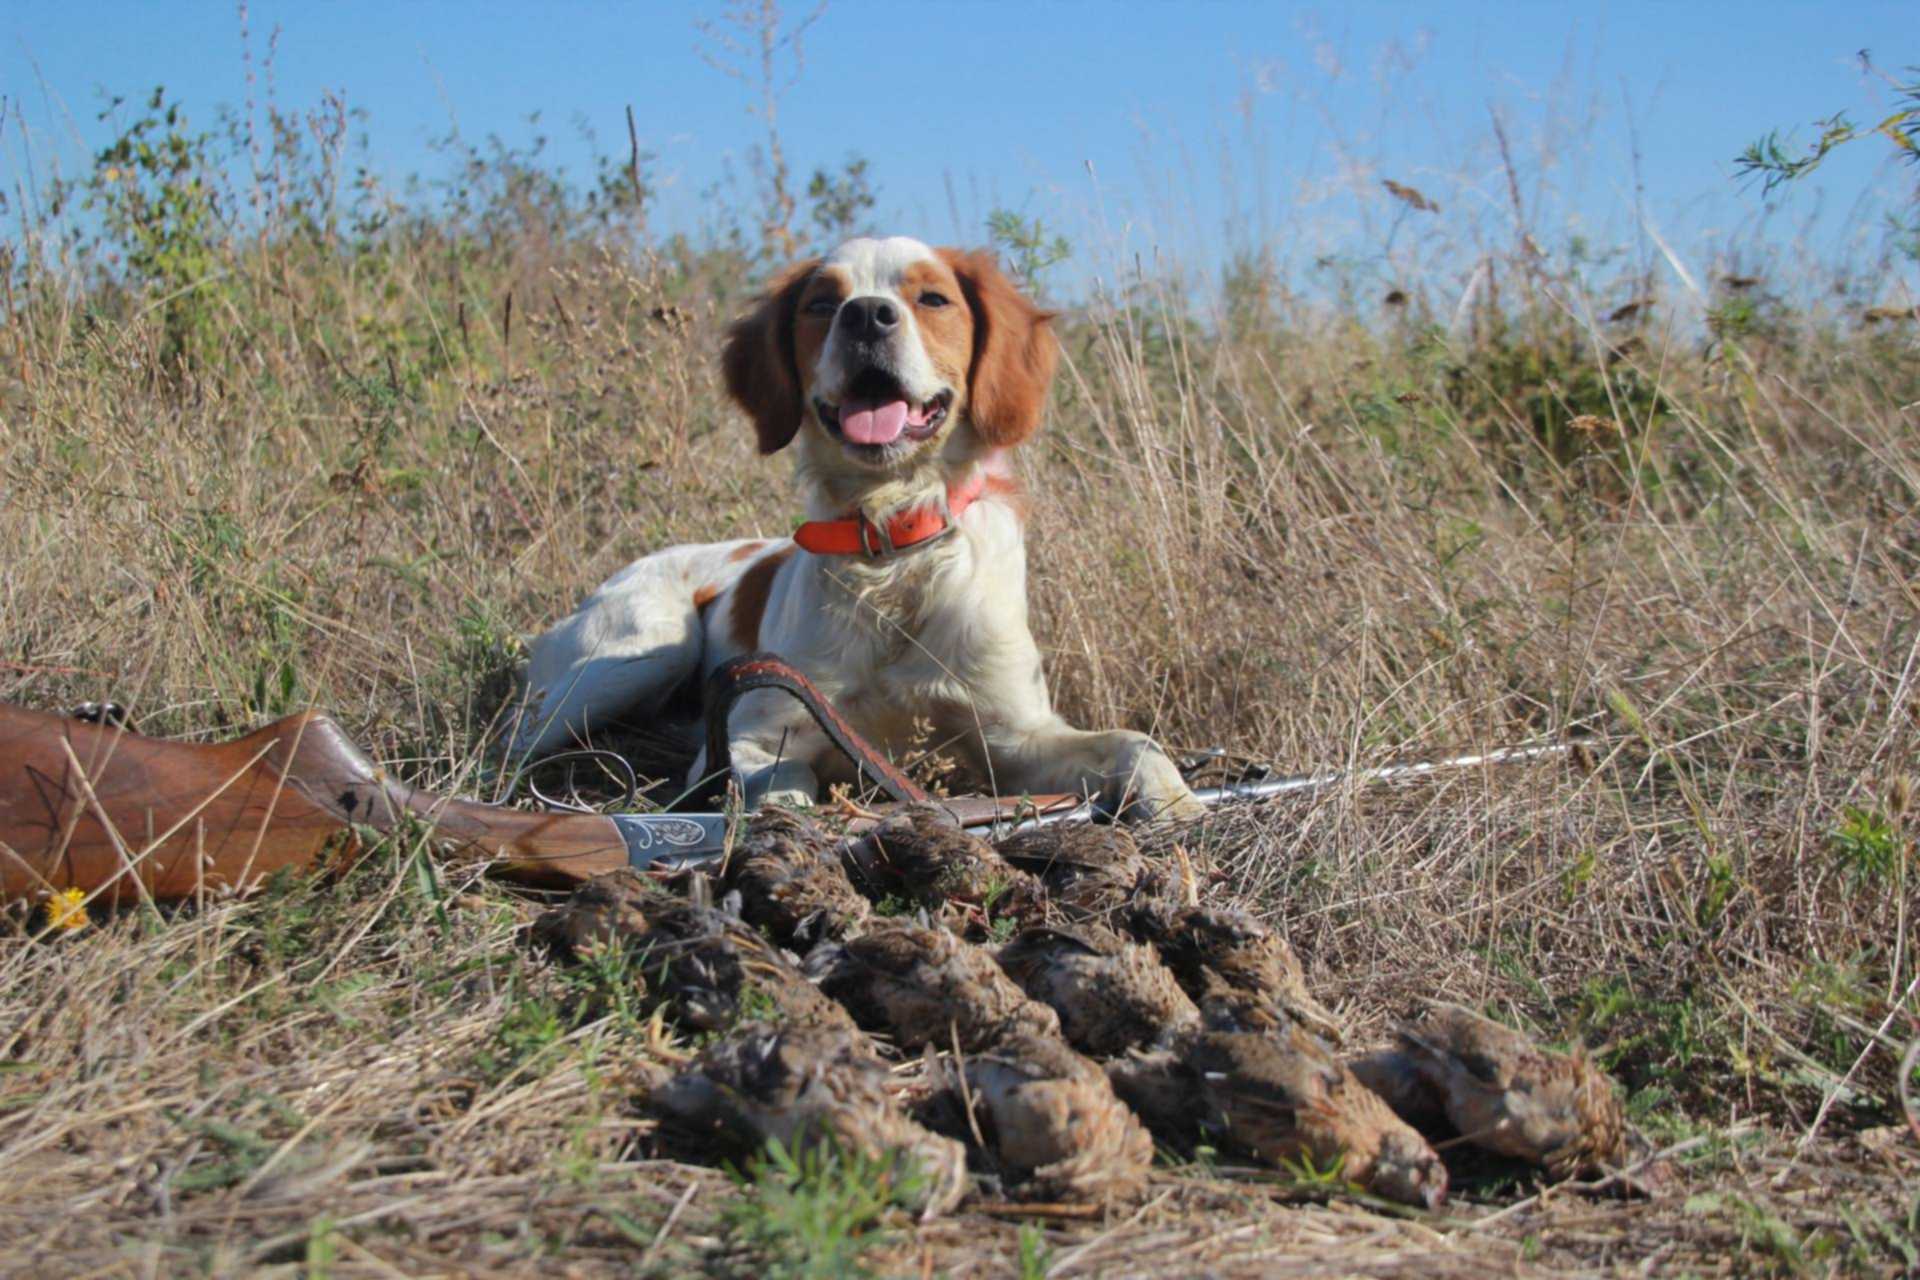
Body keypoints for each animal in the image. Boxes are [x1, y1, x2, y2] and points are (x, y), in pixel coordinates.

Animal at [510, 237, 1198, 821]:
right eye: (820, 303)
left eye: (933, 298)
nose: (866, 315)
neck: (891, 544)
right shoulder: (748, 732)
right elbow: (785, 774)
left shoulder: (1016, 739)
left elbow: (1134, 741)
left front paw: (1175, 802)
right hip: (634, 654)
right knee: (520, 736)